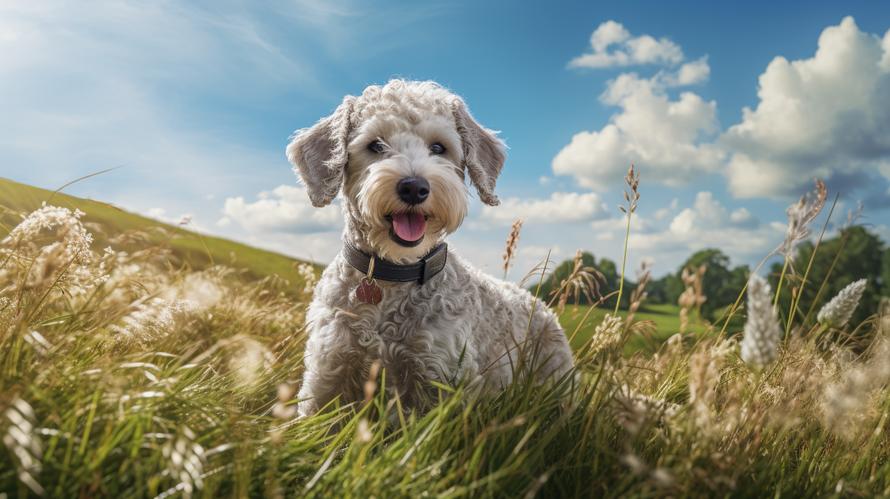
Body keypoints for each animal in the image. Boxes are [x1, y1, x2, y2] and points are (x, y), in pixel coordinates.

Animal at [288, 80, 572, 416]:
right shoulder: (327, 374)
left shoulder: (441, 382)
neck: (392, 277)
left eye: (438, 148)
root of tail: (539, 302)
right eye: (375, 145)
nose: (414, 187)